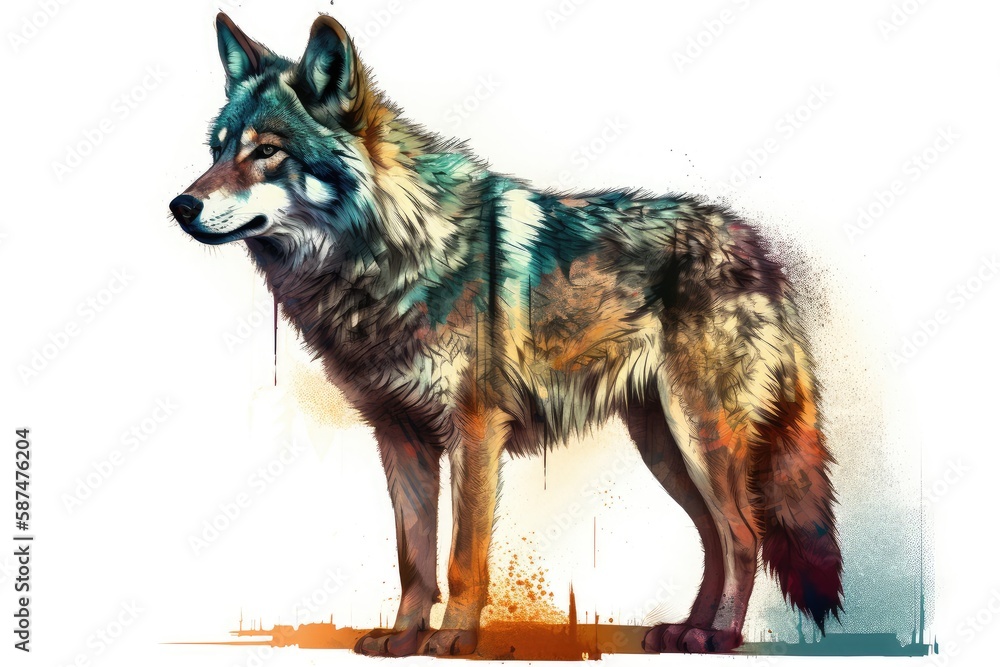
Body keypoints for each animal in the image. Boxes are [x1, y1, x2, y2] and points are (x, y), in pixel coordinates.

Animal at [170, 13, 843, 656]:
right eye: (217, 150)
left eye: (267, 152)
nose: (180, 206)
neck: (389, 252)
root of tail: (757, 248)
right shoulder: (400, 436)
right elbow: (413, 559)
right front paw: (403, 639)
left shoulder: (474, 429)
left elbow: (461, 557)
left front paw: (452, 639)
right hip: (665, 447)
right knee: (713, 536)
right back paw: (683, 632)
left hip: (700, 437)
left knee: (744, 535)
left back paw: (718, 637)